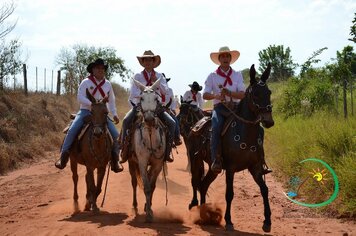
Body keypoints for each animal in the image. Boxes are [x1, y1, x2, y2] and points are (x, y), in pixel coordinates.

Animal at [128, 78, 167, 223]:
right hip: (131, 162)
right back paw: (135, 206)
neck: (150, 135)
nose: (149, 119)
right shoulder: (142, 162)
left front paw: (149, 209)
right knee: (134, 183)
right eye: (142, 98)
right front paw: (148, 214)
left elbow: (152, 185)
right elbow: (146, 187)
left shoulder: (158, 164)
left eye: (156, 98)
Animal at [188, 64, 274, 232]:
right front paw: (228, 221)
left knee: (203, 185)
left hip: (213, 168)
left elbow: (265, 189)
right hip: (195, 160)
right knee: (195, 182)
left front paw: (267, 221)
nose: (268, 121)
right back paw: (197, 207)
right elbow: (229, 194)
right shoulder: (230, 168)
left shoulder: (255, 168)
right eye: (255, 94)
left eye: (269, 92)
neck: (244, 133)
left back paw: (204, 213)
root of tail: (195, 125)